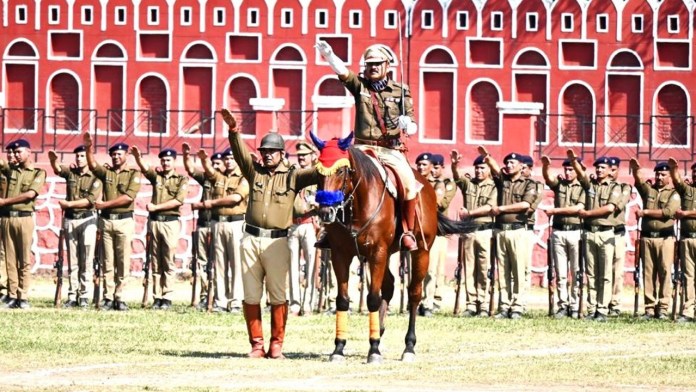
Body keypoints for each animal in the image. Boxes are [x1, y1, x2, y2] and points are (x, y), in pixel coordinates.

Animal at [312, 133, 470, 362]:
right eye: (318, 171)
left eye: (341, 170)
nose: (326, 212)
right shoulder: (341, 255)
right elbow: (343, 300)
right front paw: (339, 348)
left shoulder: (377, 252)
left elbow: (372, 298)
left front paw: (374, 350)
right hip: (387, 255)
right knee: (389, 285)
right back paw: (379, 330)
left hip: (421, 251)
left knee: (414, 293)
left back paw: (408, 346)